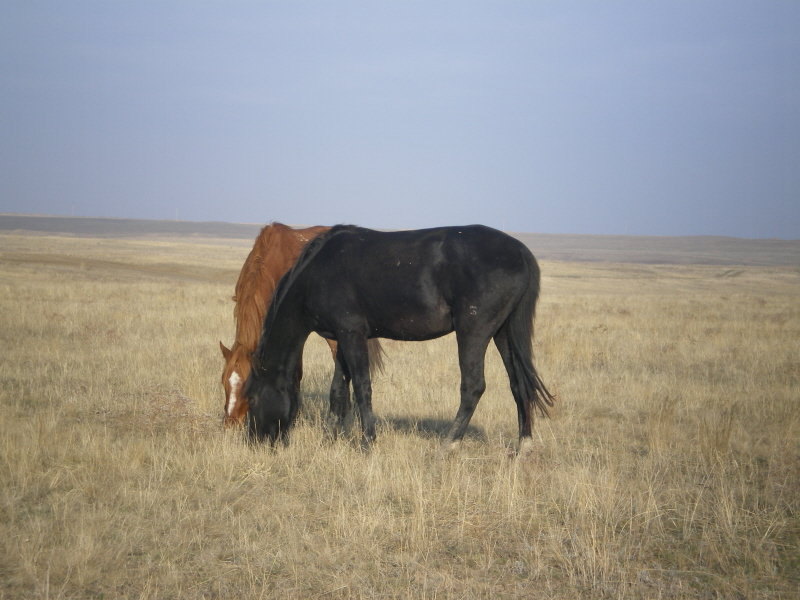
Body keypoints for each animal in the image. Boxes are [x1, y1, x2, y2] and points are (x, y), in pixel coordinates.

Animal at [245, 225, 556, 450]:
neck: (317, 272)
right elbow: (337, 391)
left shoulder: (352, 334)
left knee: (473, 386)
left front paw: (367, 443)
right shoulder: (341, 337)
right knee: (518, 384)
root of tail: (520, 251)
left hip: (474, 330)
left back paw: (449, 445)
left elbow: (362, 387)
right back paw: (523, 446)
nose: (254, 442)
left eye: (251, 398)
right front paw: (329, 439)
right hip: (504, 332)